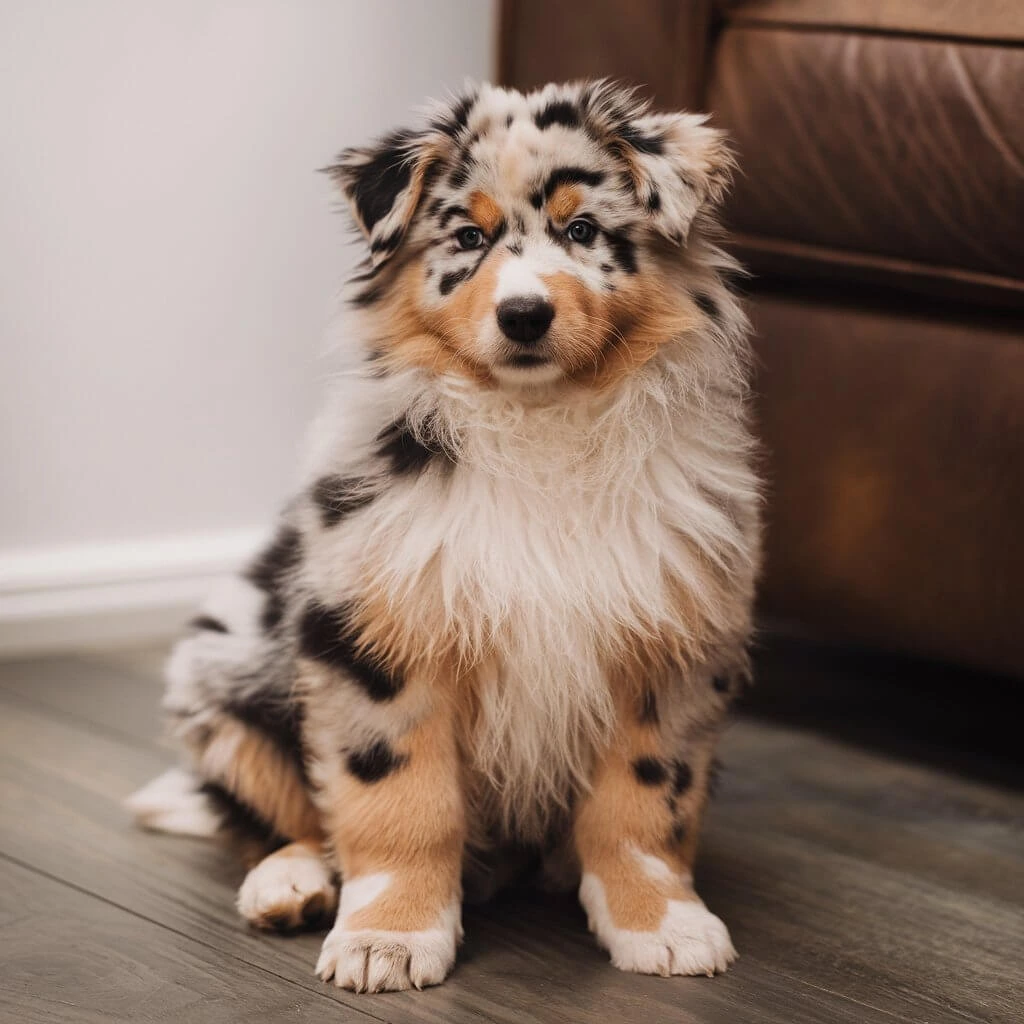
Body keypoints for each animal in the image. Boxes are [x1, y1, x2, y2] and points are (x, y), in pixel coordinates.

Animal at [125, 77, 761, 991]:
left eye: (582, 231)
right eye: (468, 237)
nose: (525, 315)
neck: (539, 419)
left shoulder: (673, 637)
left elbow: (644, 803)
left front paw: (662, 922)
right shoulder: (376, 633)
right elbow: (397, 801)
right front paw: (387, 938)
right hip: (220, 676)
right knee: (286, 817)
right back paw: (289, 883)